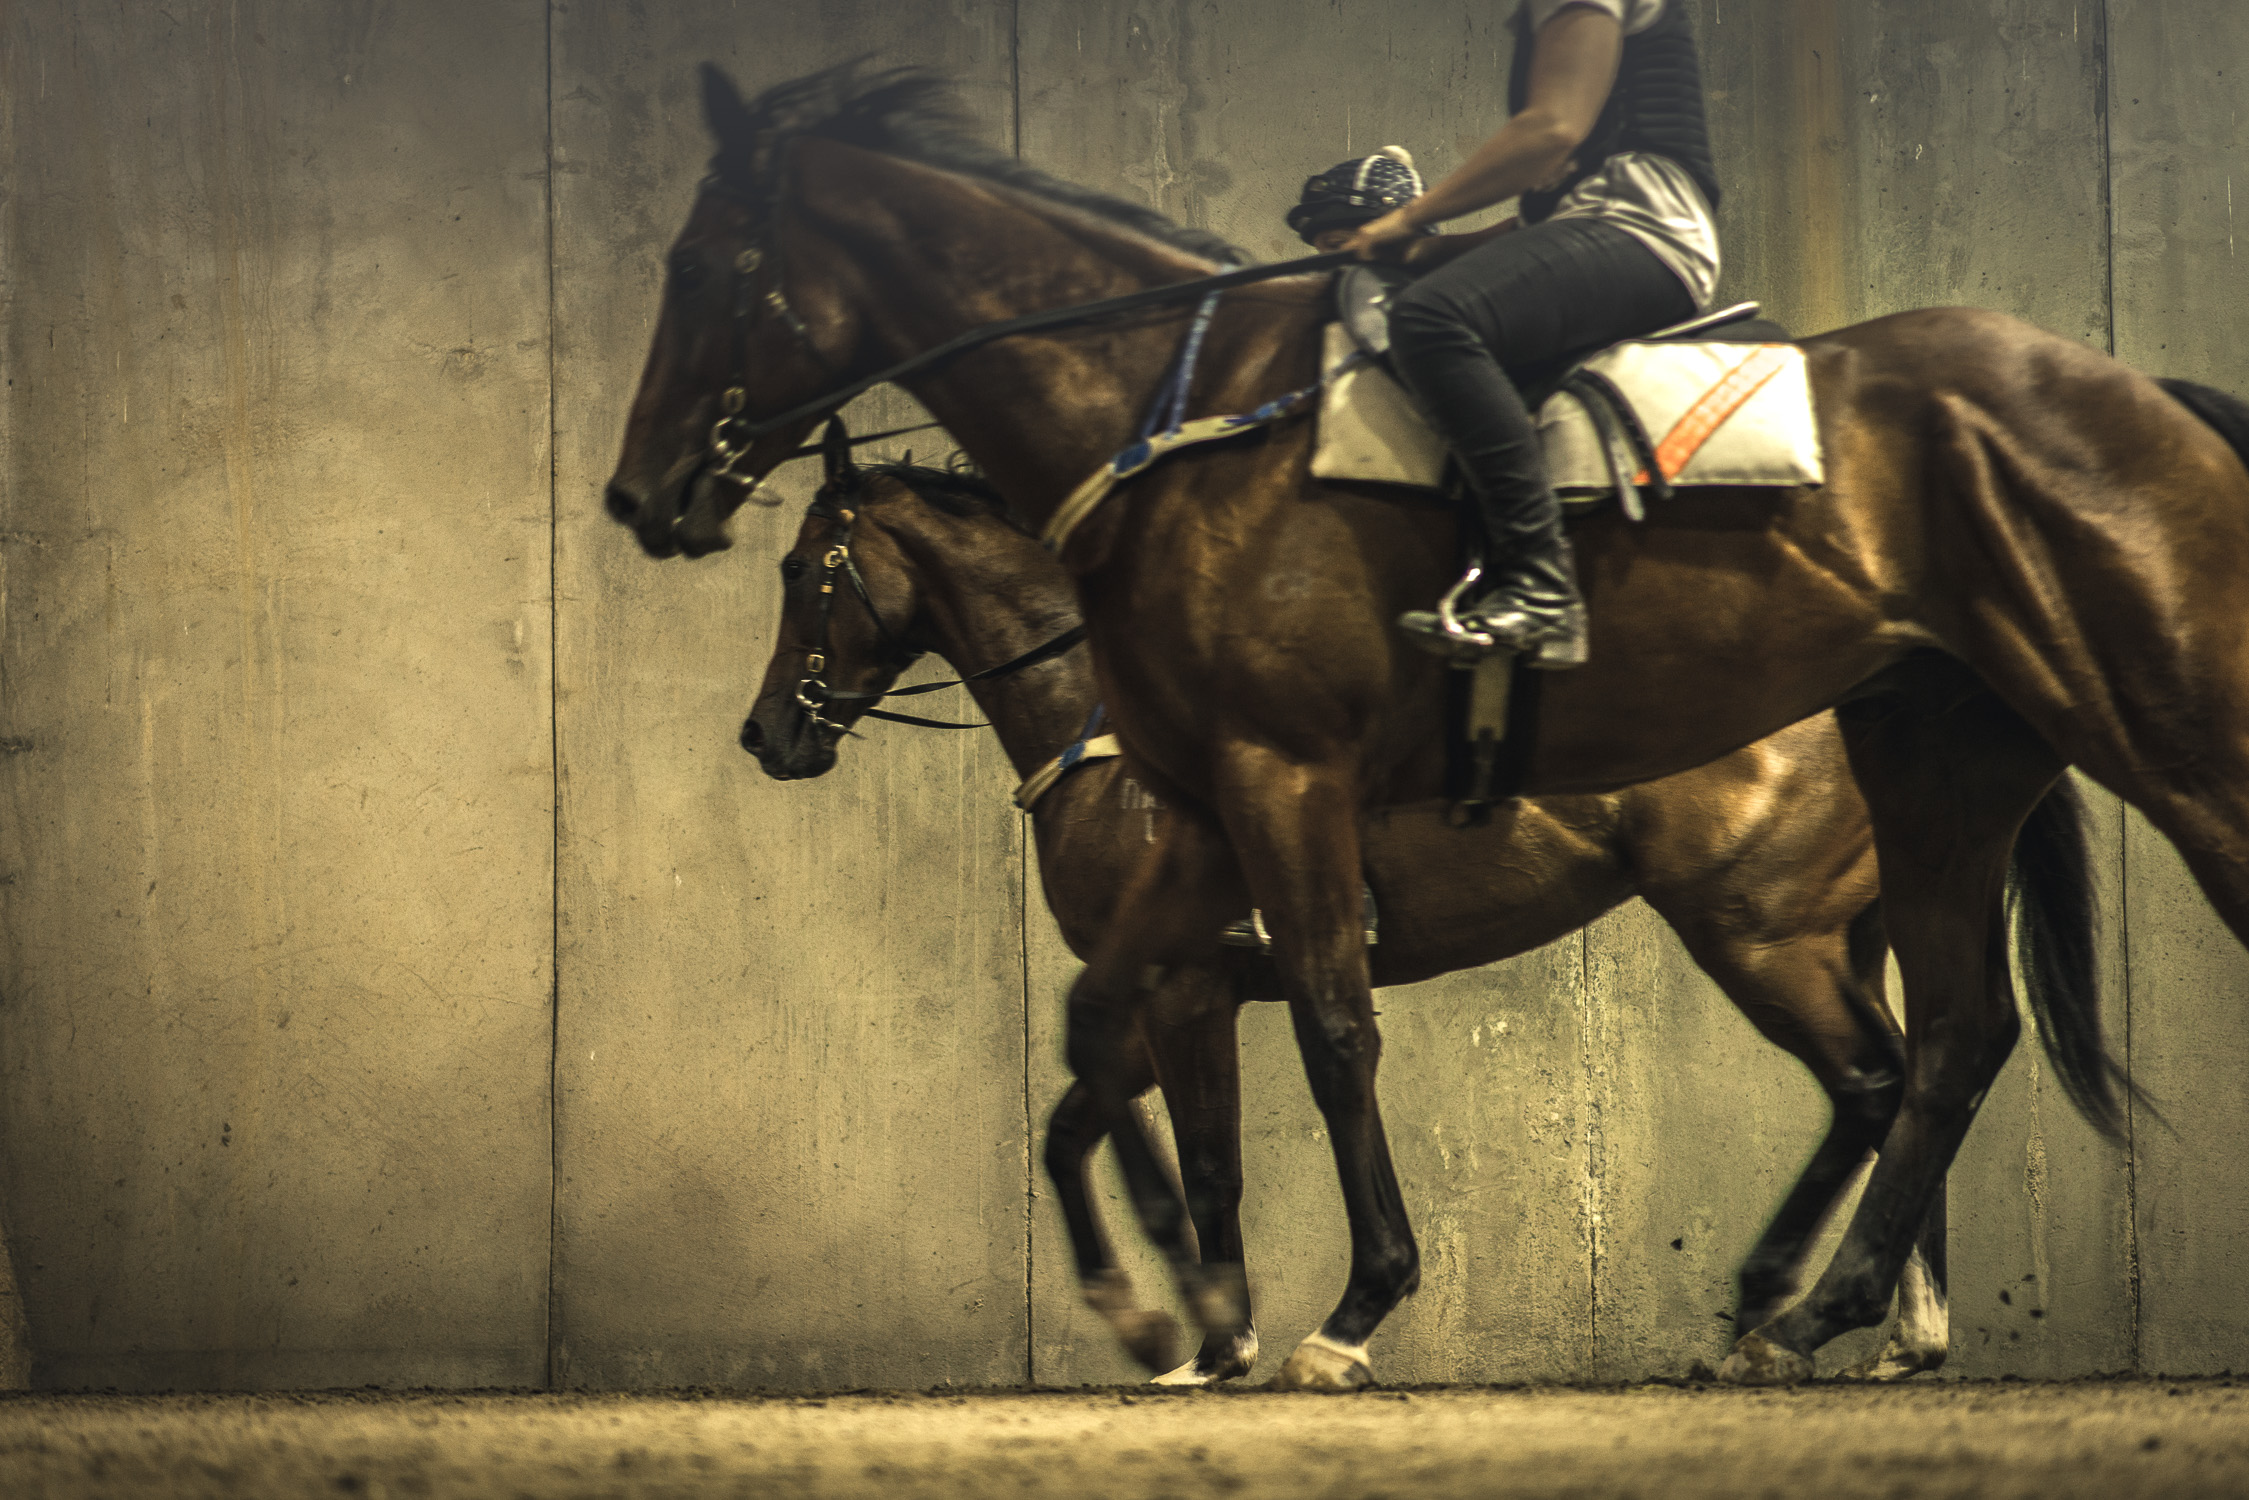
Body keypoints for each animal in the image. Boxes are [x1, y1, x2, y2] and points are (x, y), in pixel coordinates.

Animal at [735, 457, 2096, 1385]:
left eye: (804, 572)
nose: (765, 734)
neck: (1109, 729)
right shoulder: (1167, 996)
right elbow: (1074, 1129)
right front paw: (1181, 1326)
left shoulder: (1179, 990)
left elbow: (1199, 1160)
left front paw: (1207, 1334)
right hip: (1841, 931)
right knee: (1920, 1072)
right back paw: (1892, 1327)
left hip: (1758, 935)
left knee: (1878, 1080)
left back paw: (1781, 1315)